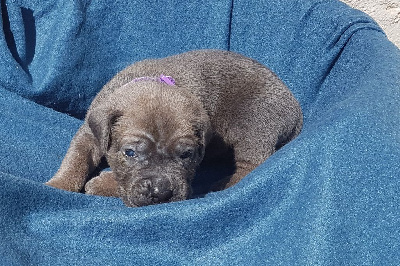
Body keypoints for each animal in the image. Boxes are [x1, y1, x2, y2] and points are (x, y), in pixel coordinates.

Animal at [46, 50, 304, 208]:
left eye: (186, 155)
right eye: (129, 153)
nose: (160, 192)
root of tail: (296, 113)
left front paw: (102, 183)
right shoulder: (90, 133)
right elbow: (76, 159)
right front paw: (58, 184)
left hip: (254, 123)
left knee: (252, 165)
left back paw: (221, 185)